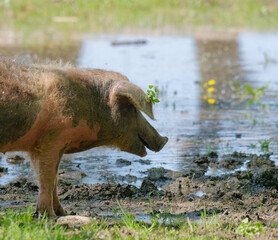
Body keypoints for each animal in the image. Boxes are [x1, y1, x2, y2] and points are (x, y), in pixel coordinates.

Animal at [0, 60, 167, 218]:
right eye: (132, 108)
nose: (164, 140)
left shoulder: (40, 146)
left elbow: (54, 179)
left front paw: (64, 213)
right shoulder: (52, 140)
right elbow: (48, 178)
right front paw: (51, 217)